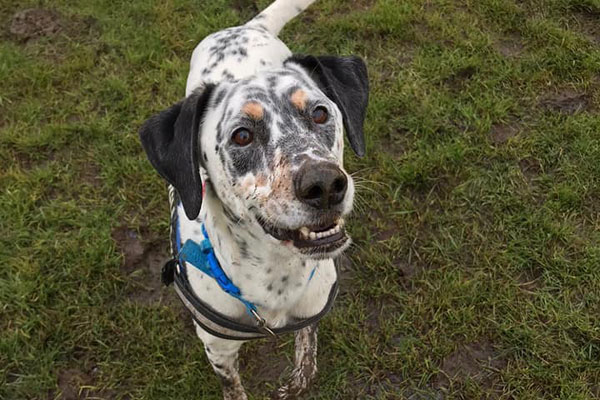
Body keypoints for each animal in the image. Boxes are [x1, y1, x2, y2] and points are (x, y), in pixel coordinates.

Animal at [138, 0, 368, 396]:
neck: (276, 278)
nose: (325, 184)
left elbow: (306, 356)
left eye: (320, 113)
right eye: (242, 135)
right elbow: (233, 386)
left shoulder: (312, 311)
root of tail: (247, 27)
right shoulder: (219, 350)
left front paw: (298, 379)